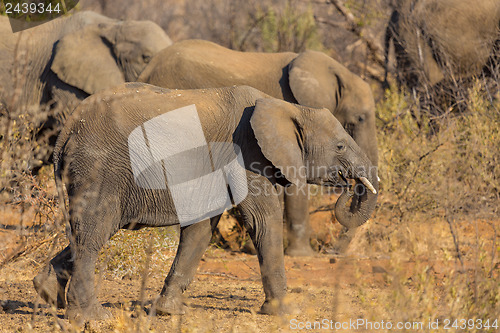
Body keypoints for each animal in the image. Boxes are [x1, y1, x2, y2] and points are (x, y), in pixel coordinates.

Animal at [32, 83, 376, 322]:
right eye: (341, 146)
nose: (349, 184)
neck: (287, 107)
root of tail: (67, 129)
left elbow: (200, 230)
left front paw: (168, 312)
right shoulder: (246, 155)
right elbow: (263, 220)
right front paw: (286, 311)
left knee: (85, 232)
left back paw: (46, 293)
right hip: (101, 168)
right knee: (94, 234)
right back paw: (91, 317)